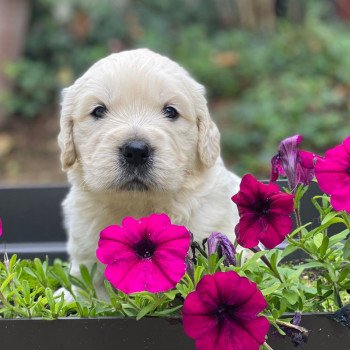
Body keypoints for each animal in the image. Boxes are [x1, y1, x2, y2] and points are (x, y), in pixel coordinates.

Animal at [58, 47, 241, 296]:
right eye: (98, 111)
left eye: (171, 111)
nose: (136, 151)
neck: (138, 206)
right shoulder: (86, 257)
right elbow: (86, 289)